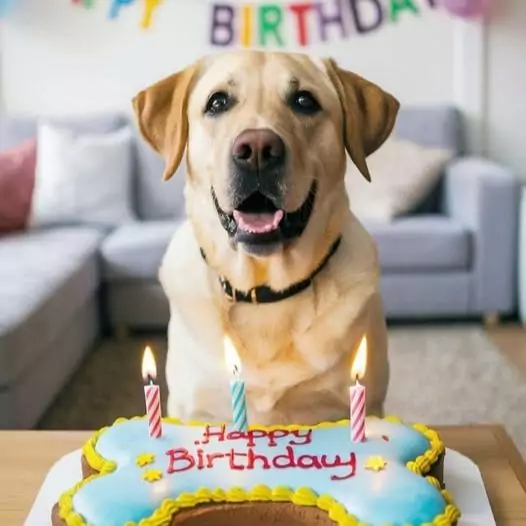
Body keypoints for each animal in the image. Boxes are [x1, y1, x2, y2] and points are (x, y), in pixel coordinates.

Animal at [135, 51, 400, 426]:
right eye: (218, 102)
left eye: (304, 101)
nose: (257, 149)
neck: (265, 291)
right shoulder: (194, 410)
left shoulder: (361, 403)